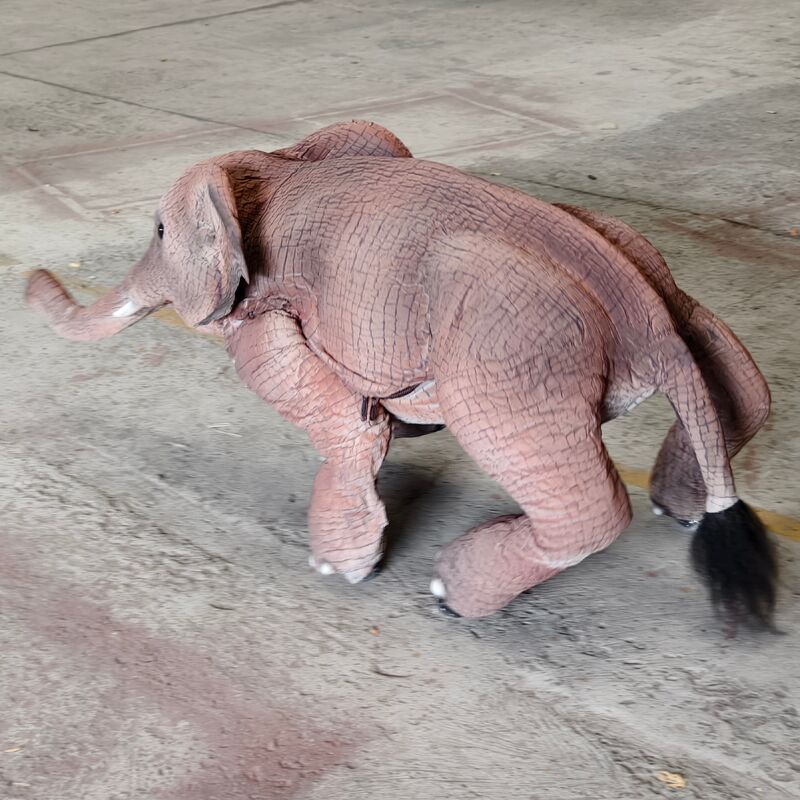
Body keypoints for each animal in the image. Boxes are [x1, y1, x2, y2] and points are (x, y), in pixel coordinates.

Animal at [26, 120, 776, 626]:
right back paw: (678, 511)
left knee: (582, 500)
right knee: (745, 386)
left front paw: (338, 571)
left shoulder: (270, 312)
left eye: (158, 231)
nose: (33, 277)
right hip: (654, 286)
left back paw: (450, 595)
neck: (274, 165)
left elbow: (339, 421)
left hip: (508, 354)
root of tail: (651, 328)